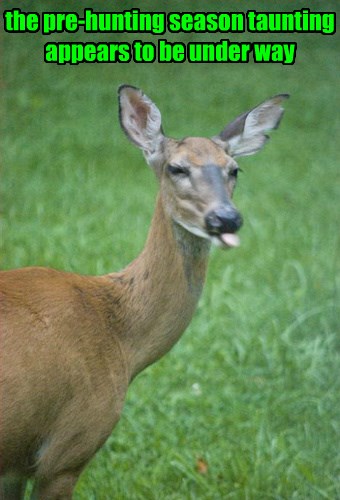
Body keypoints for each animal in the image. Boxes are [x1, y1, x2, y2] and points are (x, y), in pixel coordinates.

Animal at [0, 86, 288, 500]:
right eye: (177, 168)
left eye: (234, 169)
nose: (226, 218)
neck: (119, 338)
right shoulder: (67, 449)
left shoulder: (16, 464)